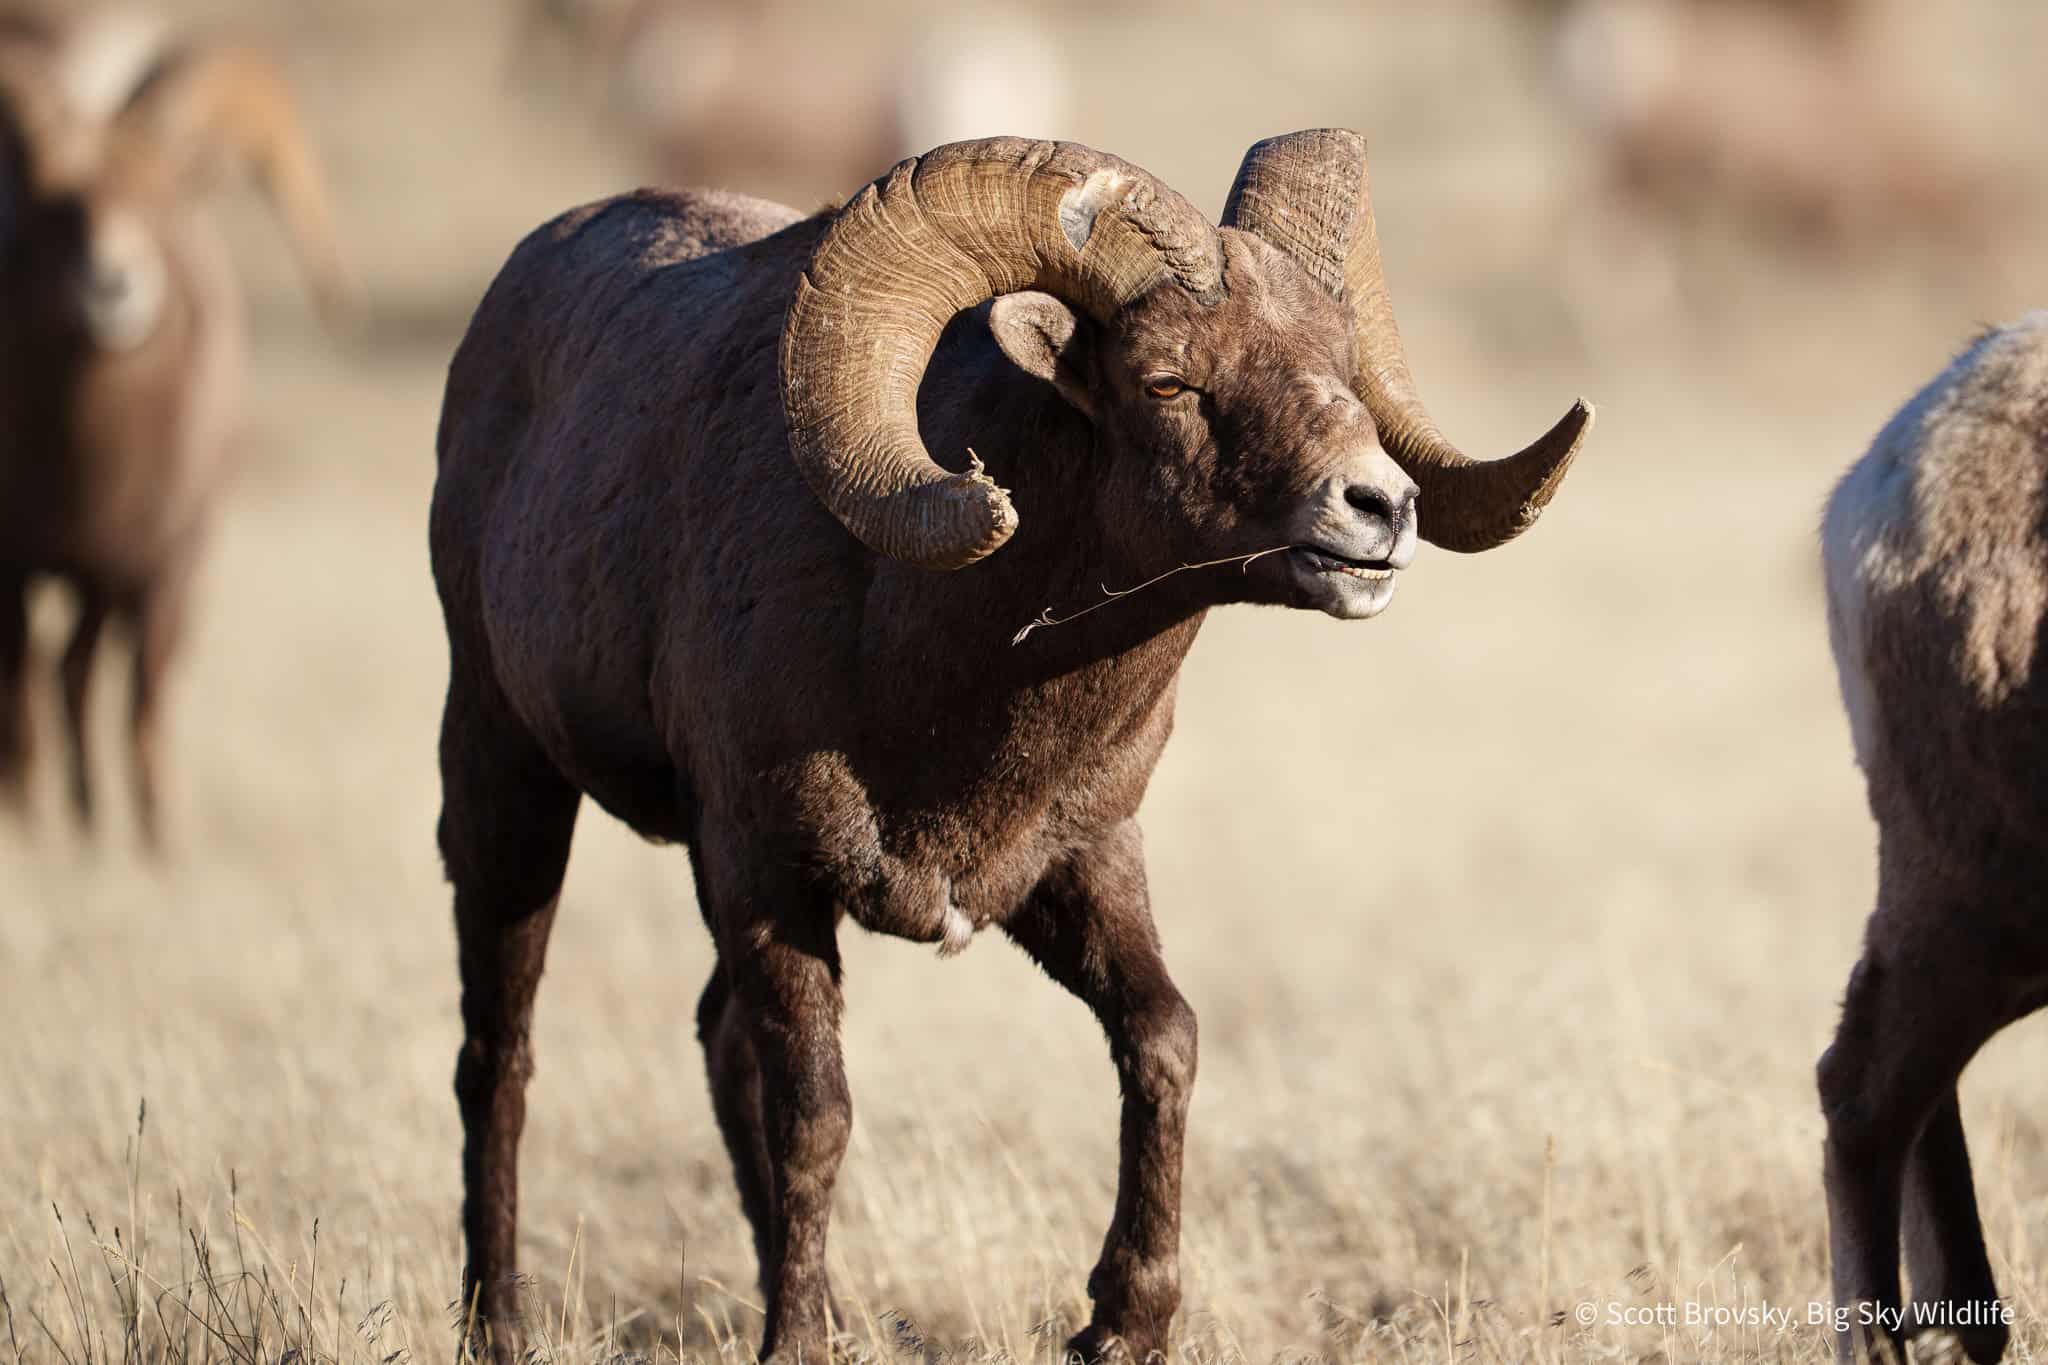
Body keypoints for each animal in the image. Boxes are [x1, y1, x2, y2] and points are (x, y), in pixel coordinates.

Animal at [0, 9, 353, 845]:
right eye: (56, 209)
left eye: (163, 204)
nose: (114, 286)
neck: (84, 473)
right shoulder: (14, 567)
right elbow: (20, 688)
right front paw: (25, 824)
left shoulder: (163, 568)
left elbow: (141, 704)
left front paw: (156, 844)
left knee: (81, 675)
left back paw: (93, 822)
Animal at [432, 129, 1594, 1362]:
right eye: (1167, 381)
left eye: (1340, 359)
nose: (1378, 511)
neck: (920, 662)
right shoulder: (761, 874)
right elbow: (814, 1115)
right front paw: (795, 1344)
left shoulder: (1074, 865)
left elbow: (1163, 1040)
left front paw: (1120, 1324)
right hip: (505, 784)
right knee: (500, 1059)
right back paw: (499, 1325)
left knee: (710, 1042)